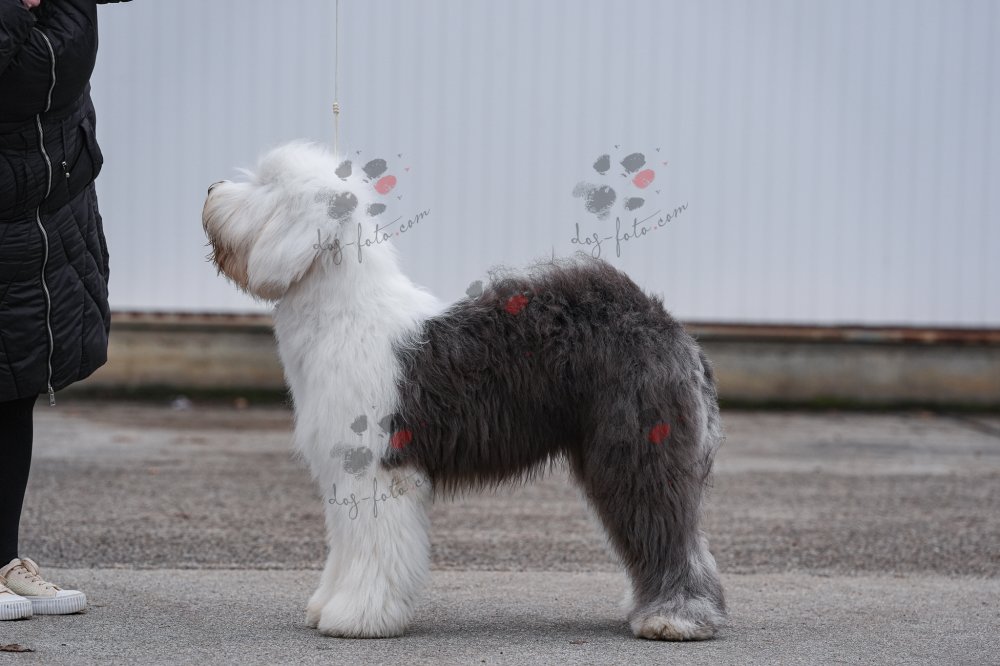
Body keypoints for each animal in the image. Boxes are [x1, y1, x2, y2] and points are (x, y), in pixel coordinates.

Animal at [202, 141, 726, 640]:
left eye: (267, 184)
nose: (210, 189)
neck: (344, 317)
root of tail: (663, 323)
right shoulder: (341, 470)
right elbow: (345, 546)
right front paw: (326, 605)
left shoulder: (378, 470)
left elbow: (374, 547)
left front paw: (358, 616)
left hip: (638, 449)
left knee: (671, 530)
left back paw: (676, 617)